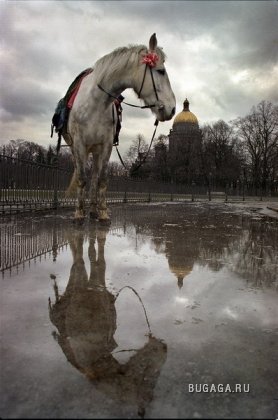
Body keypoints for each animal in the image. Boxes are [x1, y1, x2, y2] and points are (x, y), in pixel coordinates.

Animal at [63, 33, 176, 223]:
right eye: (161, 71)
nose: (173, 109)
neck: (96, 102)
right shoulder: (79, 144)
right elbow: (82, 178)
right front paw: (79, 213)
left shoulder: (106, 145)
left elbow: (101, 179)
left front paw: (102, 212)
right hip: (79, 149)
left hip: (96, 150)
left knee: (94, 176)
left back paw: (93, 210)